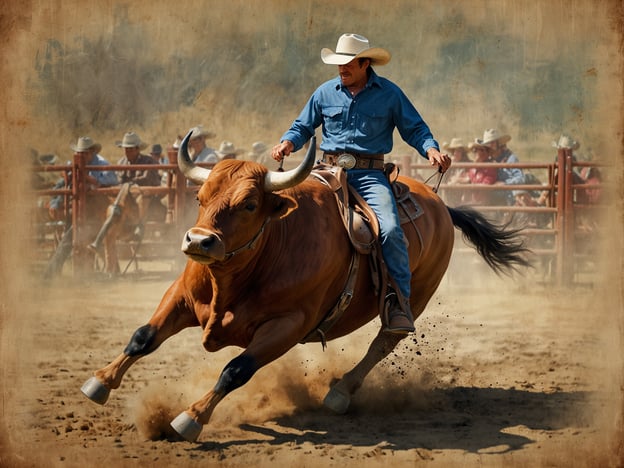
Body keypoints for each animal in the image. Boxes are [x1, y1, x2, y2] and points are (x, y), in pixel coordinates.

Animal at [80, 132, 528, 442]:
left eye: (249, 204)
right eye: (200, 197)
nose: (199, 241)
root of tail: (440, 205)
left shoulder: (287, 326)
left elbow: (235, 370)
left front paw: (190, 418)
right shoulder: (183, 296)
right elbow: (143, 336)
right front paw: (100, 381)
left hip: (413, 300)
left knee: (384, 342)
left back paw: (340, 392)